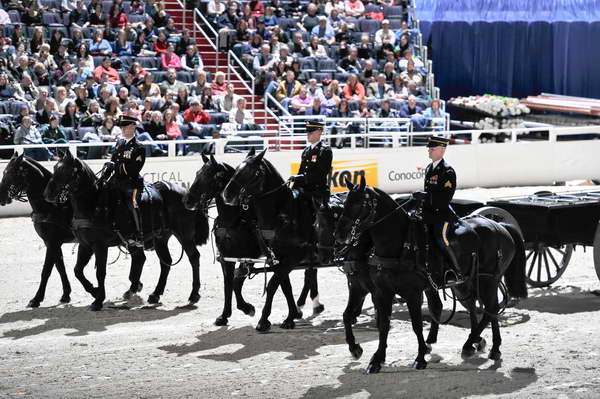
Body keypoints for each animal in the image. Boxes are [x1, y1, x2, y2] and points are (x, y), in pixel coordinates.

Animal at [0, 152, 73, 306]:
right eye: (4, 172)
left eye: (10, 173)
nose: (1, 197)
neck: (52, 206)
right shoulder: (52, 243)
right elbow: (60, 267)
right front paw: (66, 294)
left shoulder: (52, 242)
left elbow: (46, 270)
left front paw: (36, 298)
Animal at [44, 152, 209, 310]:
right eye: (55, 168)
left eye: (66, 171)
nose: (47, 194)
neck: (94, 204)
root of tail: (186, 193)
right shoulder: (85, 245)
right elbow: (77, 270)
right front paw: (95, 291)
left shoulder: (100, 246)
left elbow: (100, 272)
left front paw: (98, 300)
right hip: (161, 238)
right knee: (165, 261)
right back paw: (155, 294)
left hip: (184, 234)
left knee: (194, 257)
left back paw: (194, 294)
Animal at [183, 155, 258, 326]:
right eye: (197, 173)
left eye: (210, 176)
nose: (188, 200)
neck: (234, 220)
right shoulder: (226, 258)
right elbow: (229, 283)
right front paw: (224, 315)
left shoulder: (249, 257)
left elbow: (236, 281)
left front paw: (246, 308)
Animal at [318, 195, 446, 360]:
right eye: (317, 223)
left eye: (324, 224)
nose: (322, 256)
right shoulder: (358, 288)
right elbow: (347, 315)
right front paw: (355, 347)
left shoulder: (376, 290)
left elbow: (383, 317)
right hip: (430, 285)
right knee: (436, 306)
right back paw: (430, 340)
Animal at [336, 179, 528, 376]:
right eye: (345, 203)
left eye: (359, 203)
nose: (340, 234)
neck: (401, 245)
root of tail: (501, 227)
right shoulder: (379, 292)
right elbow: (380, 323)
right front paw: (375, 359)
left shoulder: (411, 293)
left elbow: (417, 325)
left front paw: (420, 358)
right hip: (466, 285)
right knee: (480, 308)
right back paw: (484, 345)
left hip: (488, 281)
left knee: (490, 308)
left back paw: (476, 344)